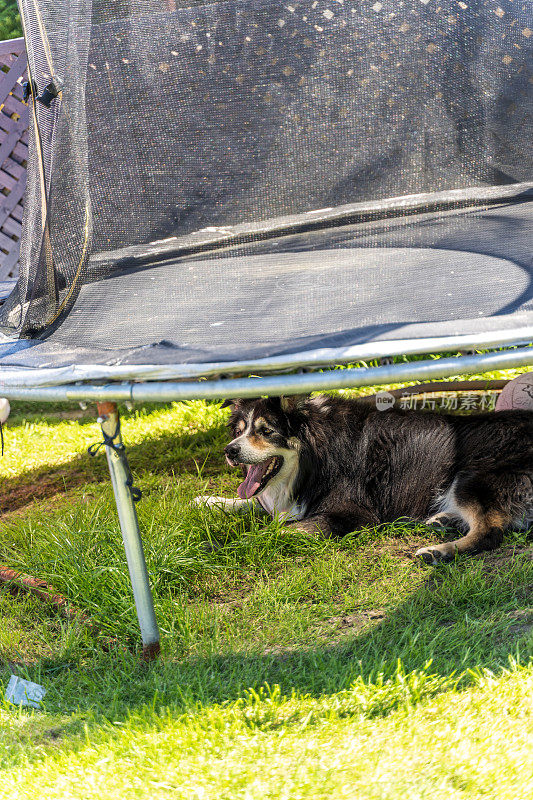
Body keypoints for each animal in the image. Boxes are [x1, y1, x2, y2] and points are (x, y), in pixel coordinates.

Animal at [195, 396, 532, 564]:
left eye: (266, 431)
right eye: (239, 431)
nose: (230, 450)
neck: (316, 455)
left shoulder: (351, 513)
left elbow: (274, 532)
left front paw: (218, 545)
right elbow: (253, 504)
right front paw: (209, 500)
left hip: (470, 477)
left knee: (491, 532)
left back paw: (441, 551)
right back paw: (443, 520)